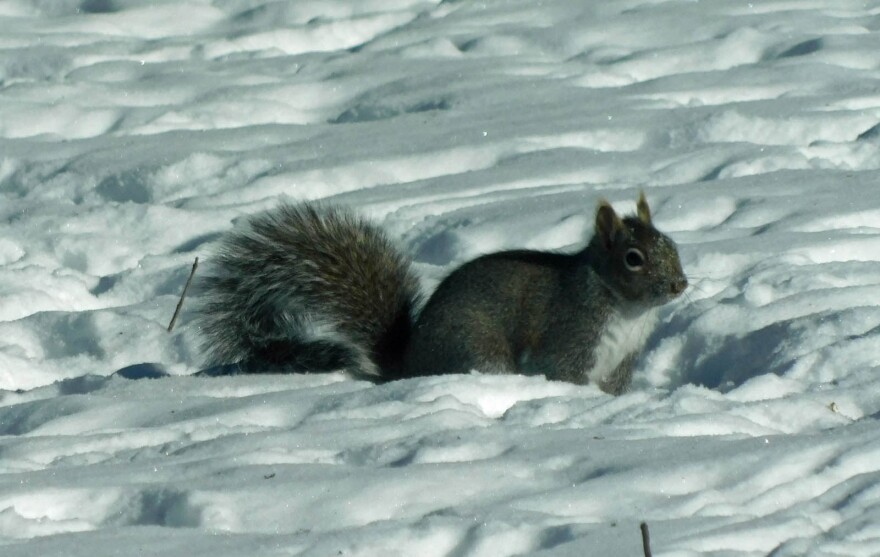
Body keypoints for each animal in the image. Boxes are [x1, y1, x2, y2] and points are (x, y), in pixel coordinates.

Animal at [194, 193, 688, 394]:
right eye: (633, 258)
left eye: (672, 244)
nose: (680, 284)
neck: (627, 309)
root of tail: (408, 366)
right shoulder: (571, 336)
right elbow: (562, 372)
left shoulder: (622, 360)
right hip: (479, 352)